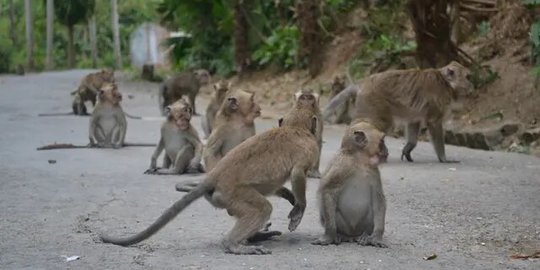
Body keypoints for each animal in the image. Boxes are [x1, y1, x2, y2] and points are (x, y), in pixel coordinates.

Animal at [100, 106, 320, 255]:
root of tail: (213, 175)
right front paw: (299, 209)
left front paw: (288, 195)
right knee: (262, 208)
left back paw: (254, 238)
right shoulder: (310, 148)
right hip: (232, 194)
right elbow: (298, 174)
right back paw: (233, 245)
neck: (295, 128)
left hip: (223, 199)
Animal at [320, 61, 472, 162]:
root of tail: (363, 83)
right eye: (467, 77)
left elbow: (413, 123)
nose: (473, 85)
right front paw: (444, 158)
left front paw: (408, 148)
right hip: (375, 102)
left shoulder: (415, 114)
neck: (446, 84)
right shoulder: (436, 106)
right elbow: (434, 124)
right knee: (379, 124)